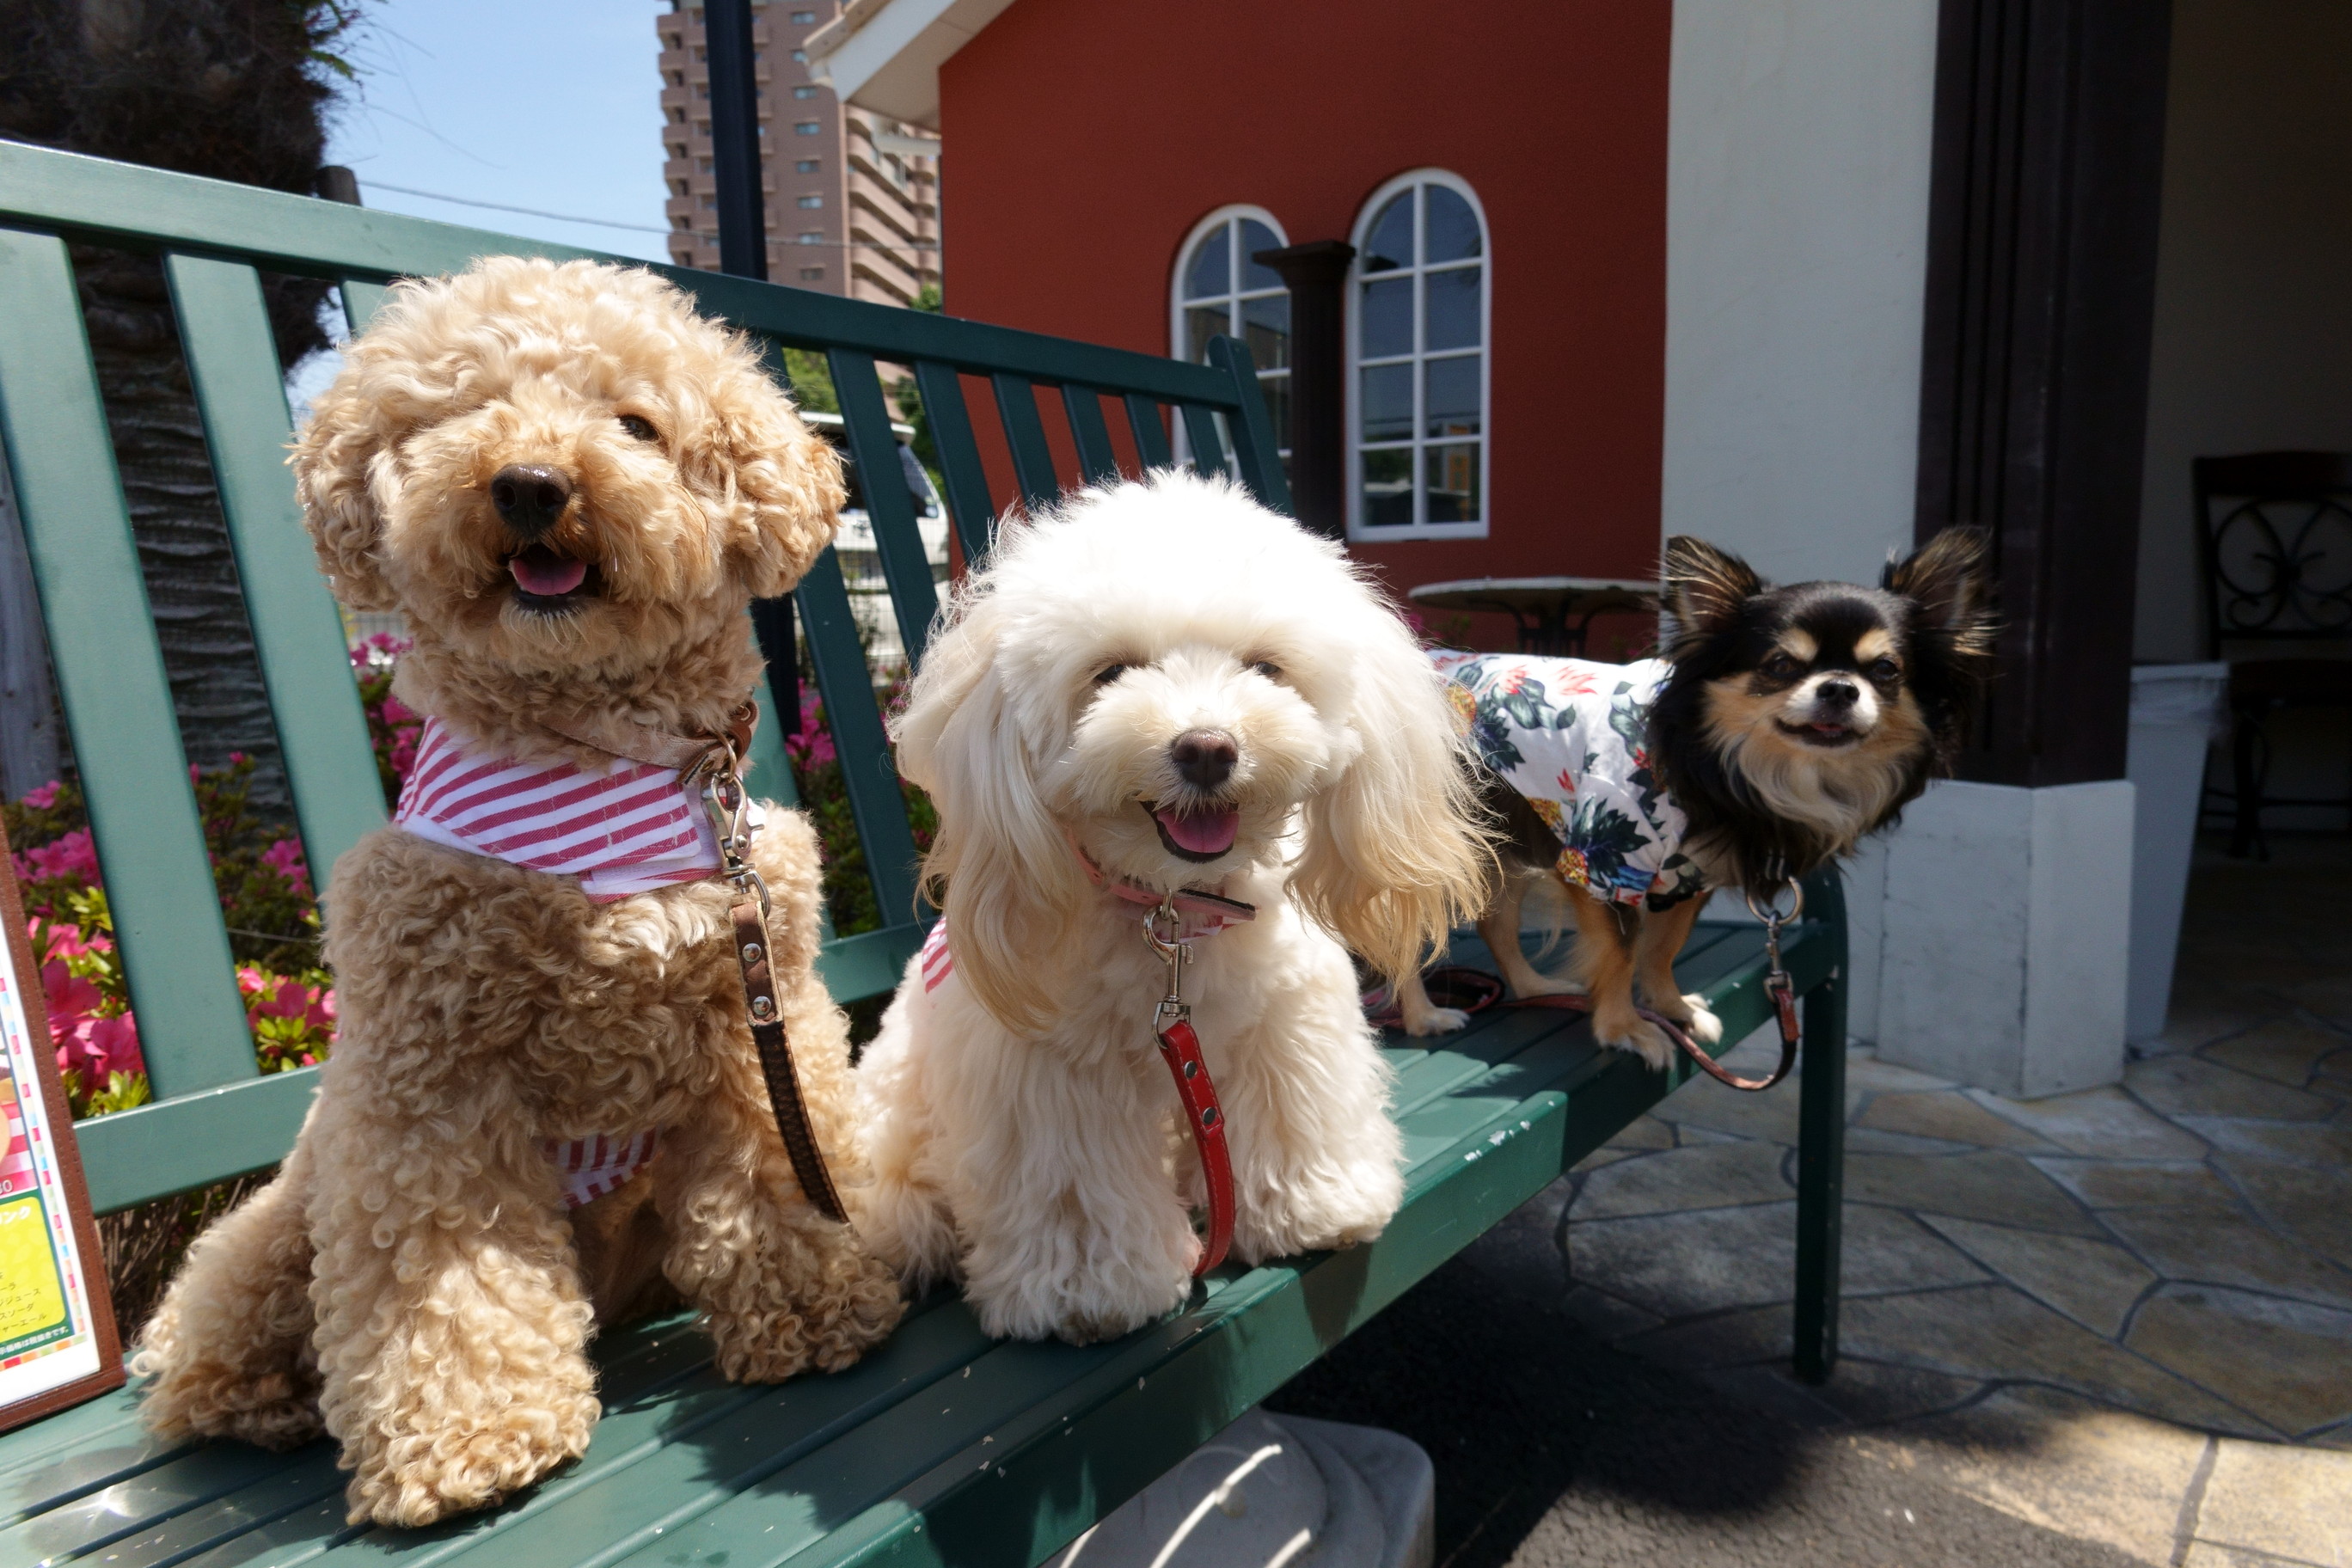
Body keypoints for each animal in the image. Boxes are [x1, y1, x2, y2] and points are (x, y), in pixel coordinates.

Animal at [855, 472, 1486, 1344]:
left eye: (1266, 667)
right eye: (1111, 670)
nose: (1208, 748)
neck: (1171, 912)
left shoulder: (1281, 1022)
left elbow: (1289, 1111)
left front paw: (1308, 1208)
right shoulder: (1052, 1079)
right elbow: (1077, 1186)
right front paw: (1089, 1294)